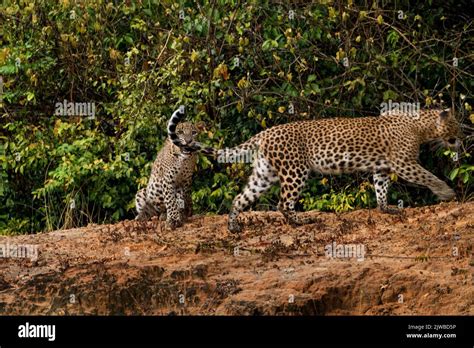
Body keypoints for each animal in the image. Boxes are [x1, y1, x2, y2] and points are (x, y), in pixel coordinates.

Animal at [168, 107, 462, 232]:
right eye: (456, 126)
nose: (460, 139)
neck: (421, 127)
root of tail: (265, 133)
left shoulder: (381, 168)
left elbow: (381, 188)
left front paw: (385, 208)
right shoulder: (405, 163)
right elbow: (428, 176)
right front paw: (447, 193)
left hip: (264, 174)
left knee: (241, 197)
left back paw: (233, 226)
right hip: (295, 171)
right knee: (283, 203)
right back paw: (301, 221)